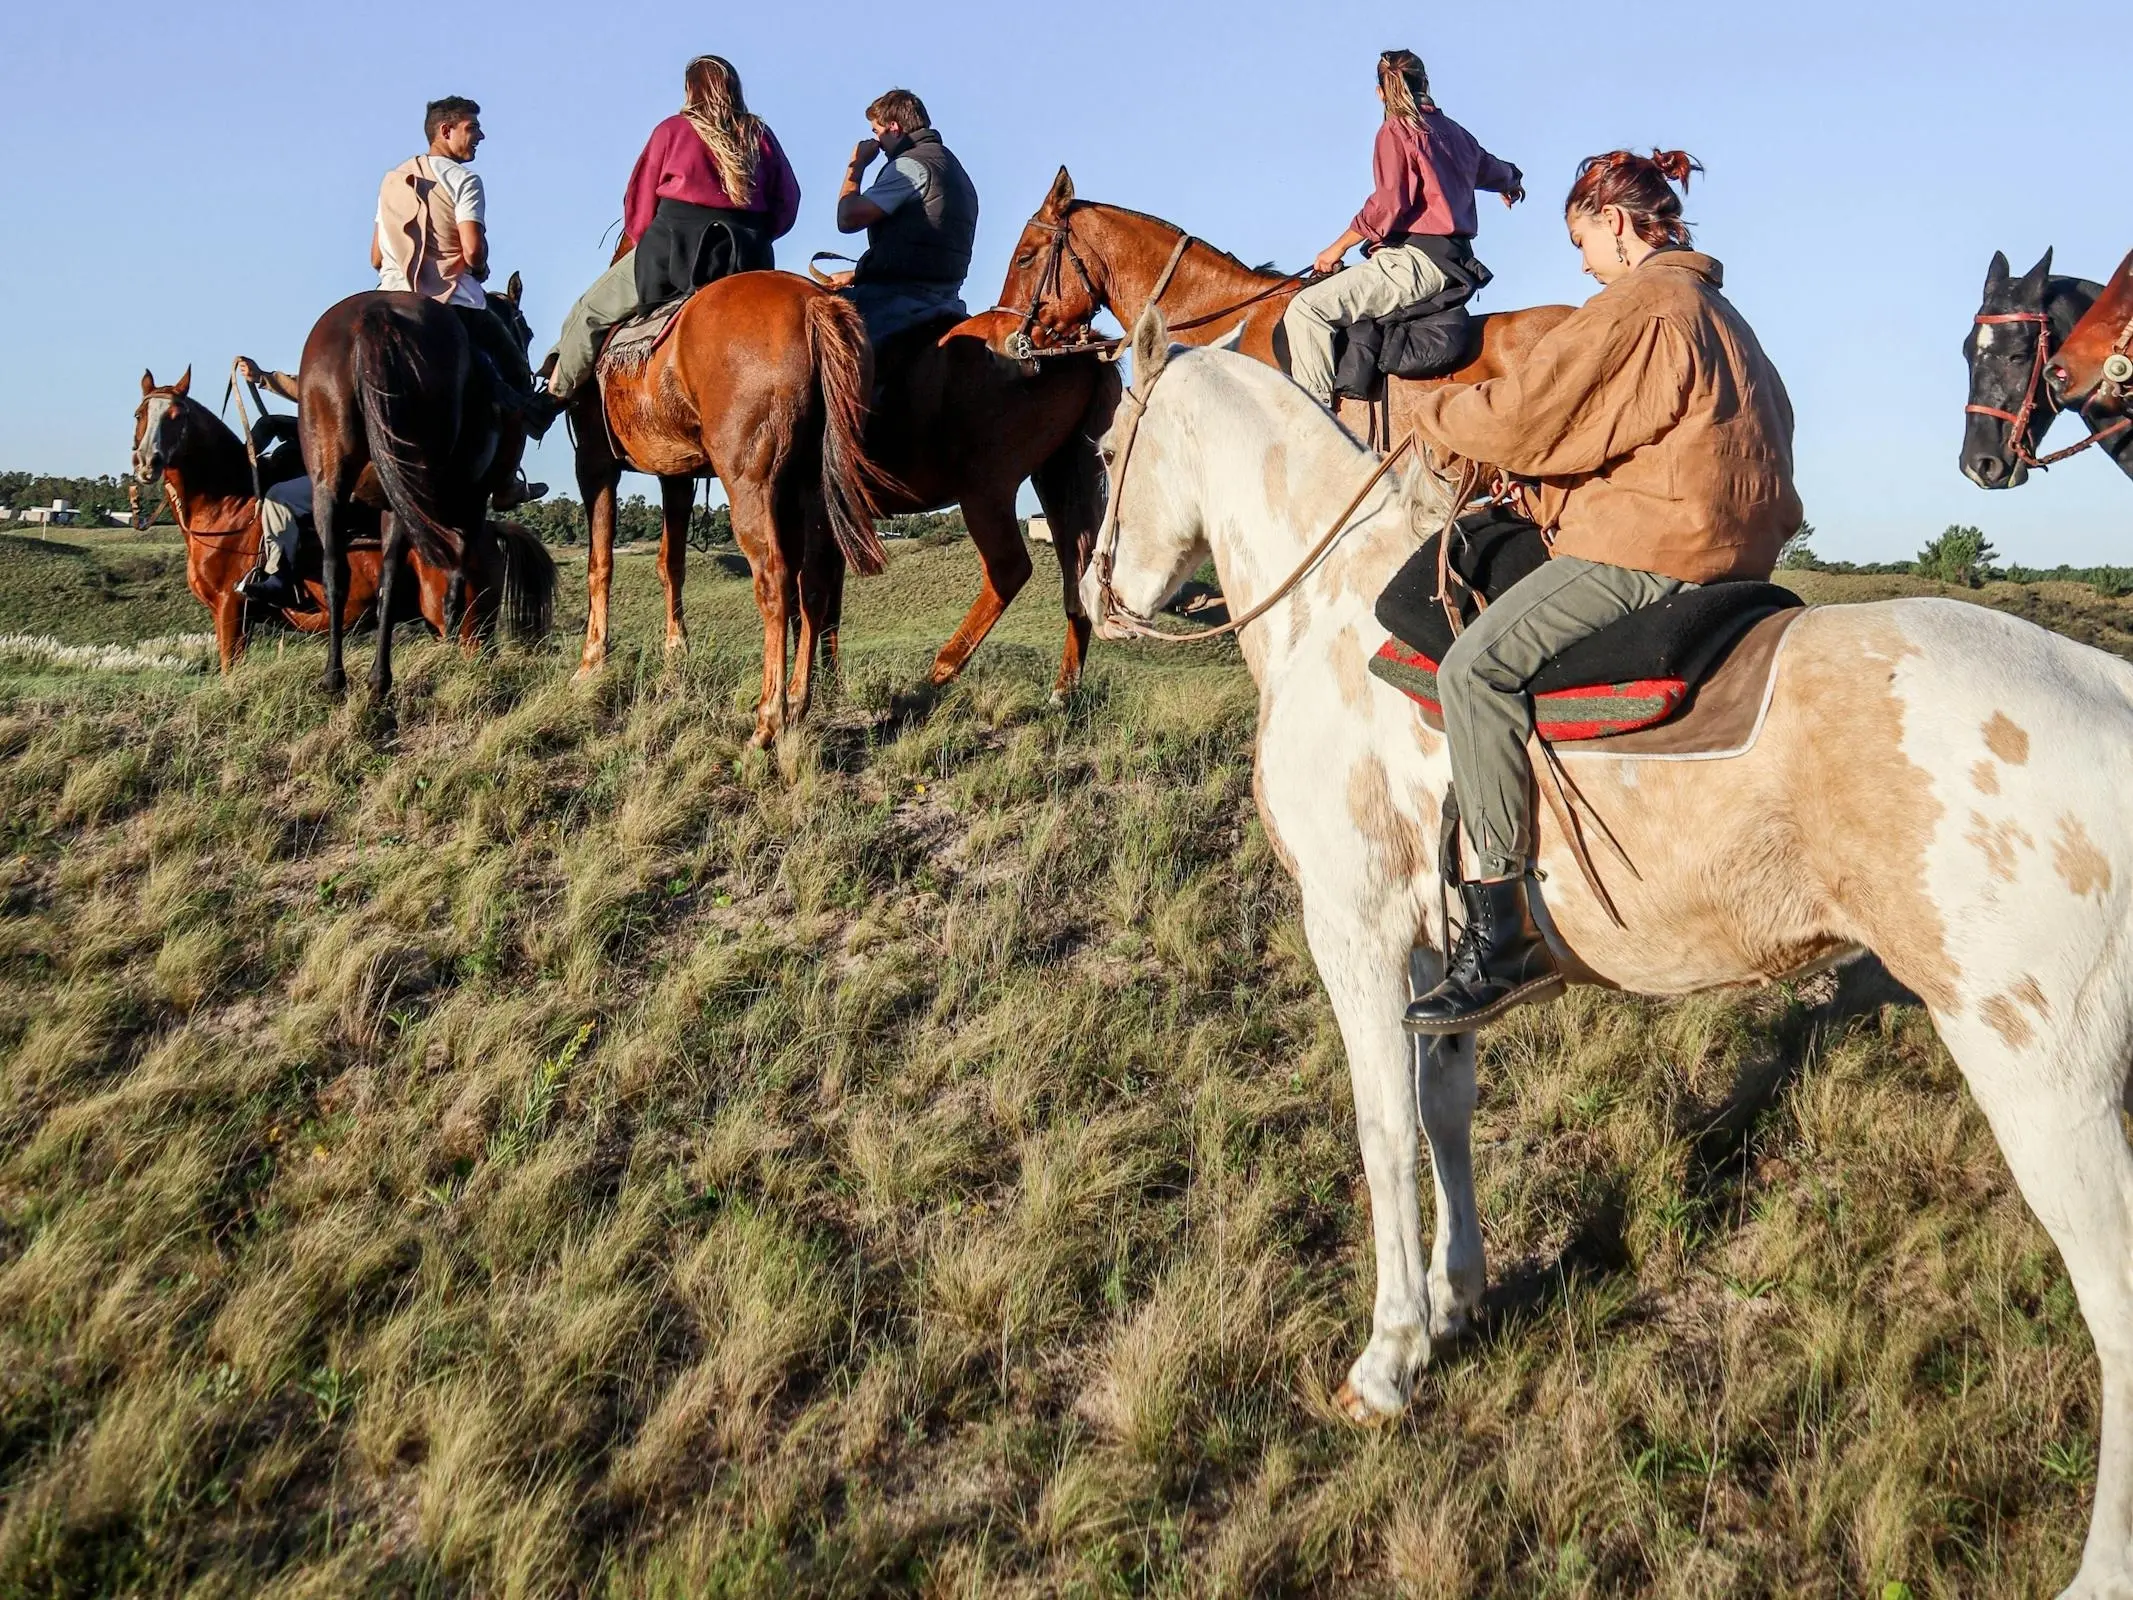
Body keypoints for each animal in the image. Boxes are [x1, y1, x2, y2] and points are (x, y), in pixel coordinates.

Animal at [131, 368, 553, 668]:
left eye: (177, 416)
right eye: (140, 414)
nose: (148, 463)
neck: (226, 506)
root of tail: (487, 528)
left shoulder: (230, 610)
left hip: (467, 627)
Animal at [298, 275, 538, 699]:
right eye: (524, 332)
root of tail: (371, 317)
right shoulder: (472, 497)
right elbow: (458, 564)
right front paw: (451, 622)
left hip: (338, 483)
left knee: (339, 574)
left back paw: (337, 678)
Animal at [565, 269, 890, 746]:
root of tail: (816, 304)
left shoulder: (594, 462)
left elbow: (600, 562)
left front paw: (590, 663)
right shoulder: (677, 473)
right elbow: (671, 563)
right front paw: (675, 658)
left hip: (750, 482)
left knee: (774, 580)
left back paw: (768, 720)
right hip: (812, 481)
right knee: (813, 582)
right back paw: (798, 701)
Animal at [1090, 311, 2133, 1600]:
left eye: (1104, 449)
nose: (1097, 598)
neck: (1332, 610)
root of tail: (2111, 692)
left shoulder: (1356, 931)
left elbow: (1383, 1132)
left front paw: (1389, 1357)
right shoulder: (1444, 961)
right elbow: (1444, 1109)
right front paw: (1457, 1298)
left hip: (2046, 1079)